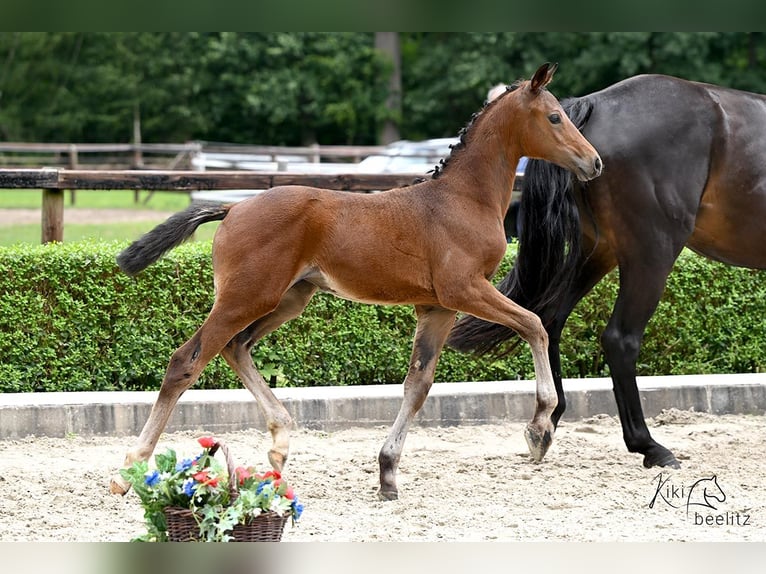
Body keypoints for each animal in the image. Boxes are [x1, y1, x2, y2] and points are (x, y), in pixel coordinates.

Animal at [108, 63, 604, 502]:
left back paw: (280, 443)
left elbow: (418, 386)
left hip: (288, 299)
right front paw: (539, 428)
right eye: (555, 116)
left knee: (236, 347)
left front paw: (387, 474)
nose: (594, 162)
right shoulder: (464, 289)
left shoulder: (437, 307)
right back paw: (128, 471)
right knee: (186, 361)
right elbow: (535, 325)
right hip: (246, 297)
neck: (462, 198)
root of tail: (233, 208)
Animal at [450, 72, 766, 470]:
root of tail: (594, 104)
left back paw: (545, 423)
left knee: (549, 321)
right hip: (651, 254)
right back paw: (649, 446)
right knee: (620, 339)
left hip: (600, 252)